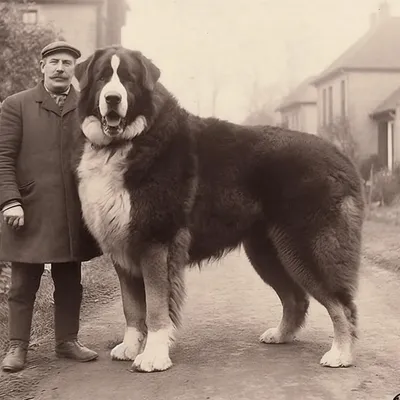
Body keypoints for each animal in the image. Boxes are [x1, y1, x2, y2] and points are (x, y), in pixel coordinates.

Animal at [72, 45, 366, 374]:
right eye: (102, 77)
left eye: (129, 79)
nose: (113, 98)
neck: (127, 141)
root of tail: (341, 157)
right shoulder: (123, 246)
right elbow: (132, 308)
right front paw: (131, 346)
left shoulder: (156, 242)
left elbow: (156, 307)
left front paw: (153, 356)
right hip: (267, 252)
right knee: (296, 299)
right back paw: (280, 335)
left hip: (307, 248)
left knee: (342, 305)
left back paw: (340, 353)